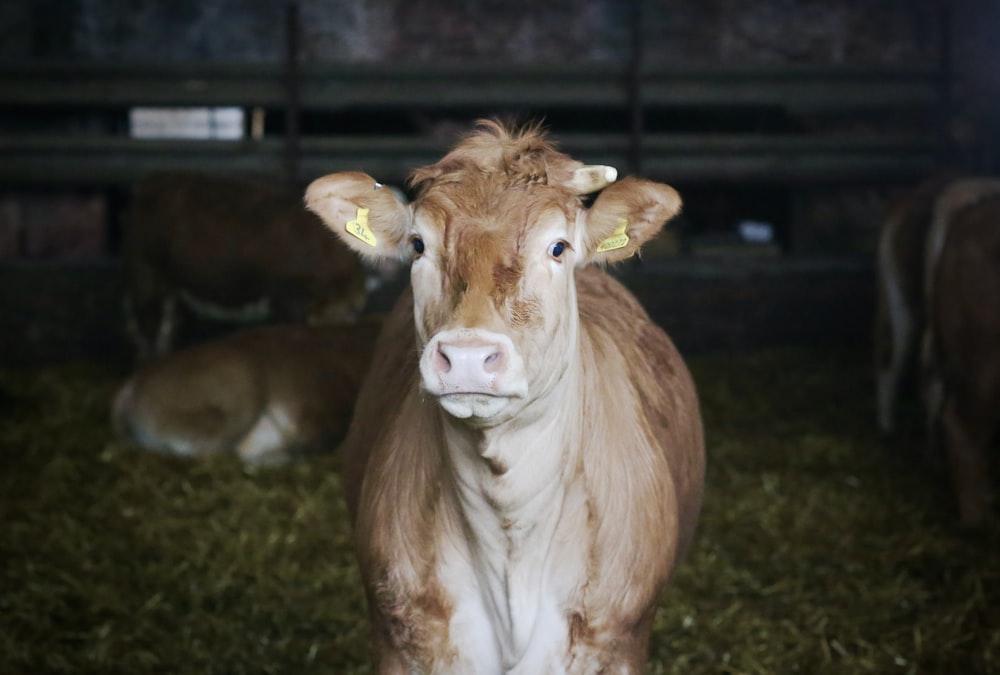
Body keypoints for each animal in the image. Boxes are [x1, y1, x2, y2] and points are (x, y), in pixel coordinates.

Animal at [122, 172, 386, 362]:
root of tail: (152, 183)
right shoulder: (290, 303)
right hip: (145, 272)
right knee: (145, 327)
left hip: (172, 285)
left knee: (167, 326)